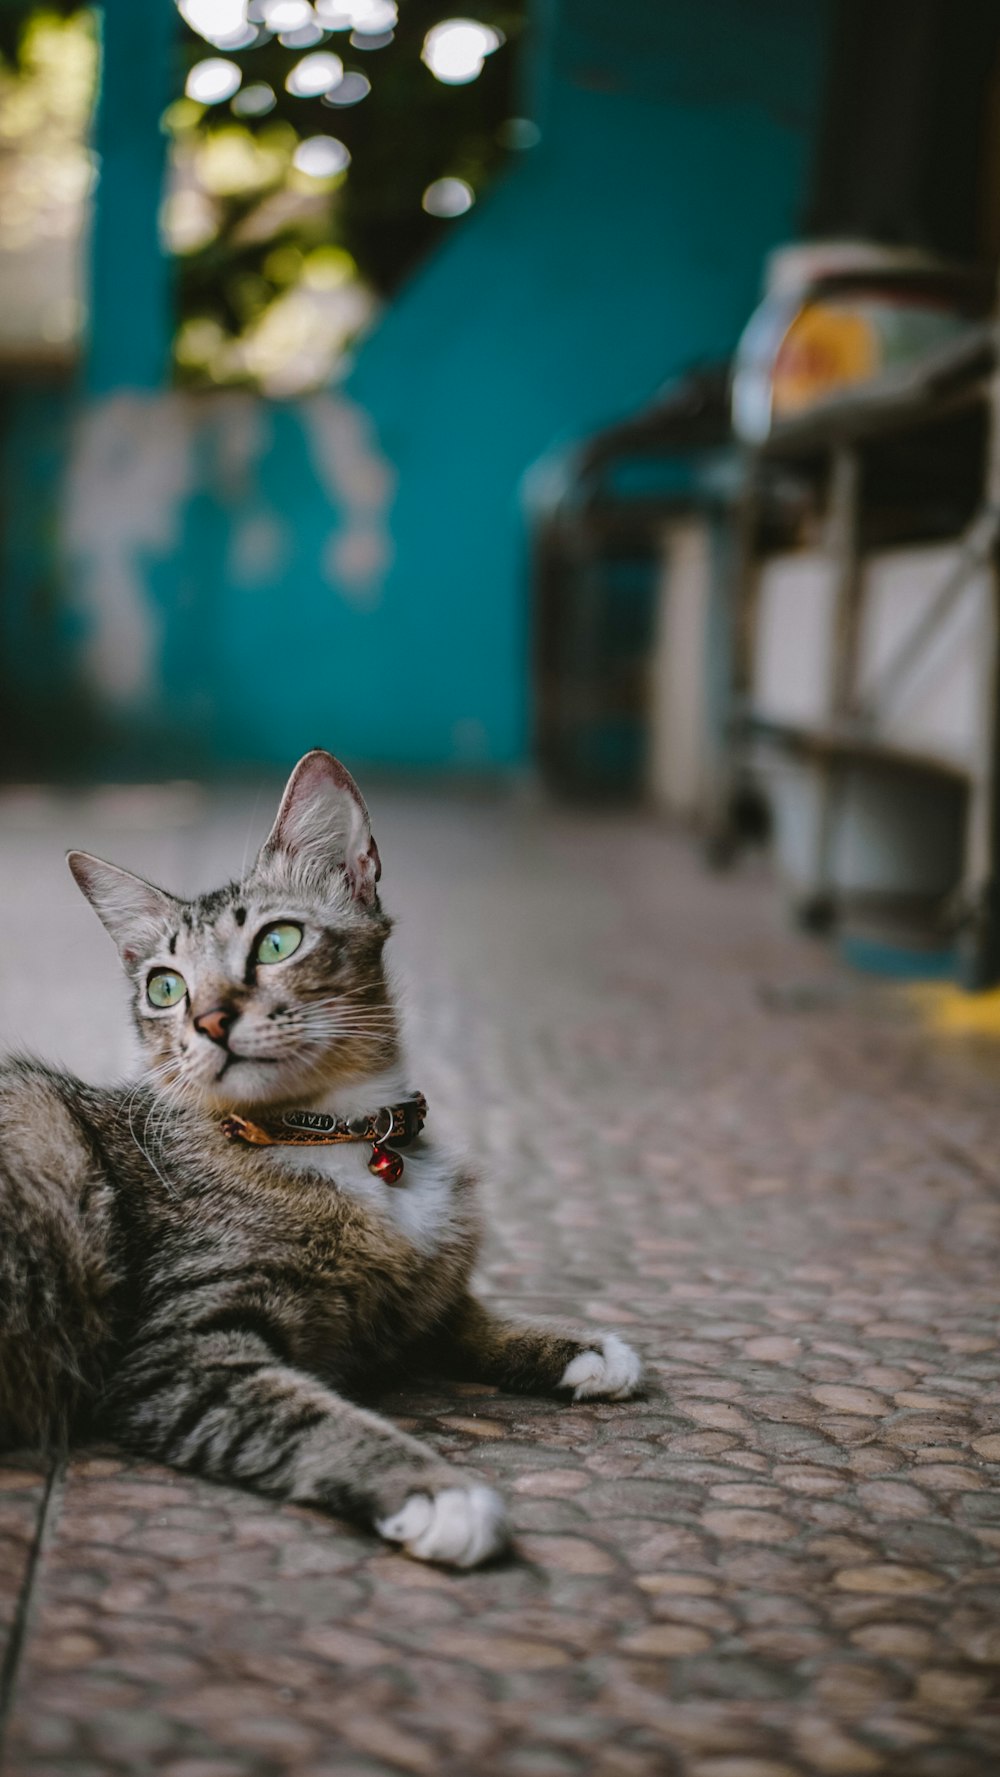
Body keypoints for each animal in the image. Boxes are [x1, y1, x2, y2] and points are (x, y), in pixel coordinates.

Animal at [0, 757, 642, 1563]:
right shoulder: (177, 1354)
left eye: (277, 943)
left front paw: (571, 1343)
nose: (209, 1020)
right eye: (165, 986)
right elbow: (307, 1415)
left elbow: (458, 1313)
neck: (335, 1133)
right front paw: (433, 1489)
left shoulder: (406, 1299)